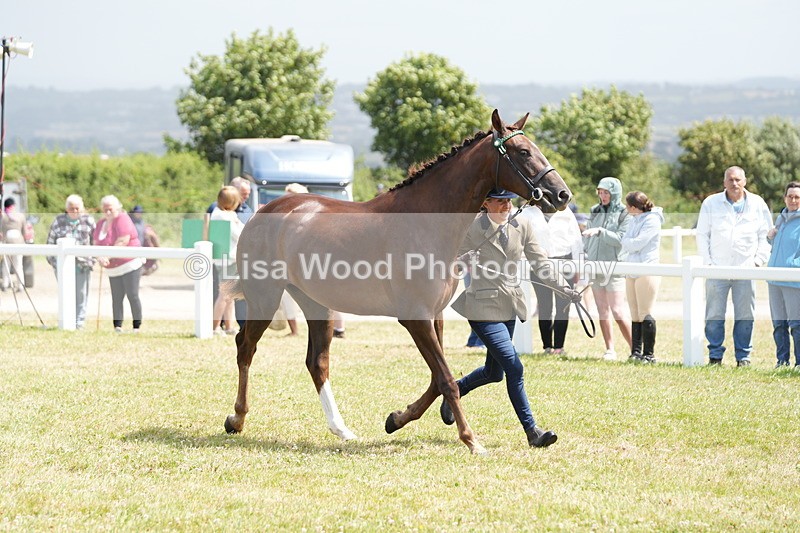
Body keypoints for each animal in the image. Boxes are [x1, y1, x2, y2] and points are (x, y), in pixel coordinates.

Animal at [224, 110, 572, 454]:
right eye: (523, 152)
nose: (561, 194)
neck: (425, 223)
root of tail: (263, 213)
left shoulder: (435, 315)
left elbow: (436, 379)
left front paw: (396, 419)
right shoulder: (415, 317)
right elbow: (445, 378)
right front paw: (471, 440)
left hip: (317, 304)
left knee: (316, 363)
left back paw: (342, 429)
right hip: (265, 298)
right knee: (245, 347)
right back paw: (236, 419)